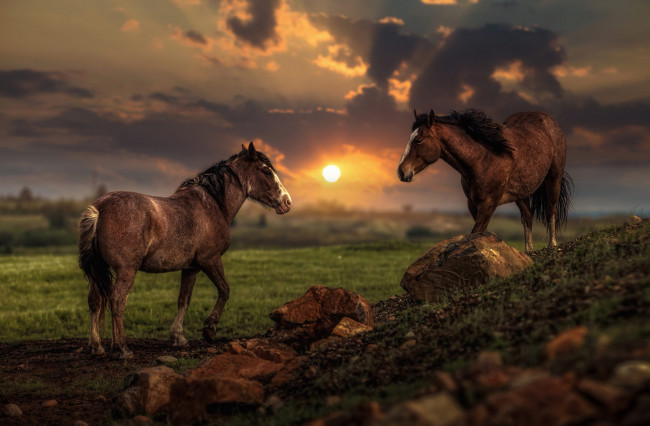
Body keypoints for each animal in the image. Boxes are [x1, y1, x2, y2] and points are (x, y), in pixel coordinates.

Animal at [78, 142, 291, 358]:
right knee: (117, 301)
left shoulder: (191, 268)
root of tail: (99, 208)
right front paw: (209, 329)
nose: (287, 202)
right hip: (126, 270)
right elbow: (224, 290)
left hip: (97, 271)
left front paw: (178, 337)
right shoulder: (210, 260)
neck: (212, 205)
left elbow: (184, 300)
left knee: (95, 301)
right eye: (266, 171)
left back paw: (96, 346)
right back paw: (122, 347)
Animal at [397, 109, 572, 254]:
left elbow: (475, 233)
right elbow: (480, 234)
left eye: (418, 140)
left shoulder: (489, 203)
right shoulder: (473, 204)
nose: (401, 172)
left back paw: (552, 245)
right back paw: (528, 251)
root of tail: (548, 119)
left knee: (551, 210)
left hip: (553, 179)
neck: (483, 158)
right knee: (527, 217)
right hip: (522, 192)